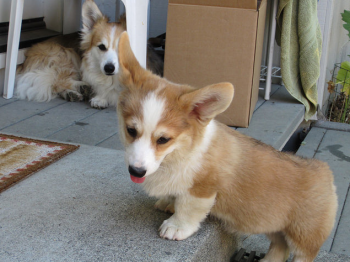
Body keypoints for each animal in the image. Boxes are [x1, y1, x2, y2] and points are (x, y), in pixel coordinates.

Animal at [15, 0, 163, 108]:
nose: (109, 68)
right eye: (102, 47)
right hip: (66, 55)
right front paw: (101, 97)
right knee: (57, 81)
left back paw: (73, 93)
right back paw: (81, 87)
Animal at [116, 32, 338, 262]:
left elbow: (188, 208)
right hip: (272, 224)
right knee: (280, 246)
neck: (180, 152)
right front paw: (168, 202)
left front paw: (176, 226)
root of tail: (325, 173)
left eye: (163, 139)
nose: (136, 171)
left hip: (303, 235)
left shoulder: (203, 189)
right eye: (130, 130)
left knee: (301, 253)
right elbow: (175, 196)